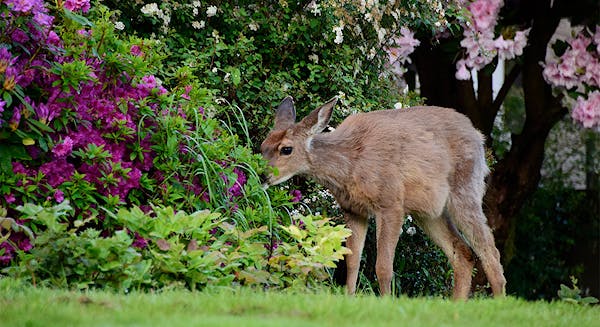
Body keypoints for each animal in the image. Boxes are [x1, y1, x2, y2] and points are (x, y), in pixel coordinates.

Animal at [260, 96, 508, 302]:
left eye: (286, 149)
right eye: (263, 147)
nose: (262, 175)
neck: (349, 164)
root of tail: (478, 136)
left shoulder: (390, 203)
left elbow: (383, 266)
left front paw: (386, 302)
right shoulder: (353, 209)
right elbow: (352, 261)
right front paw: (350, 298)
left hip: (465, 191)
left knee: (490, 251)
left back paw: (499, 303)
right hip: (429, 213)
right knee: (463, 254)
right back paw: (457, 304)